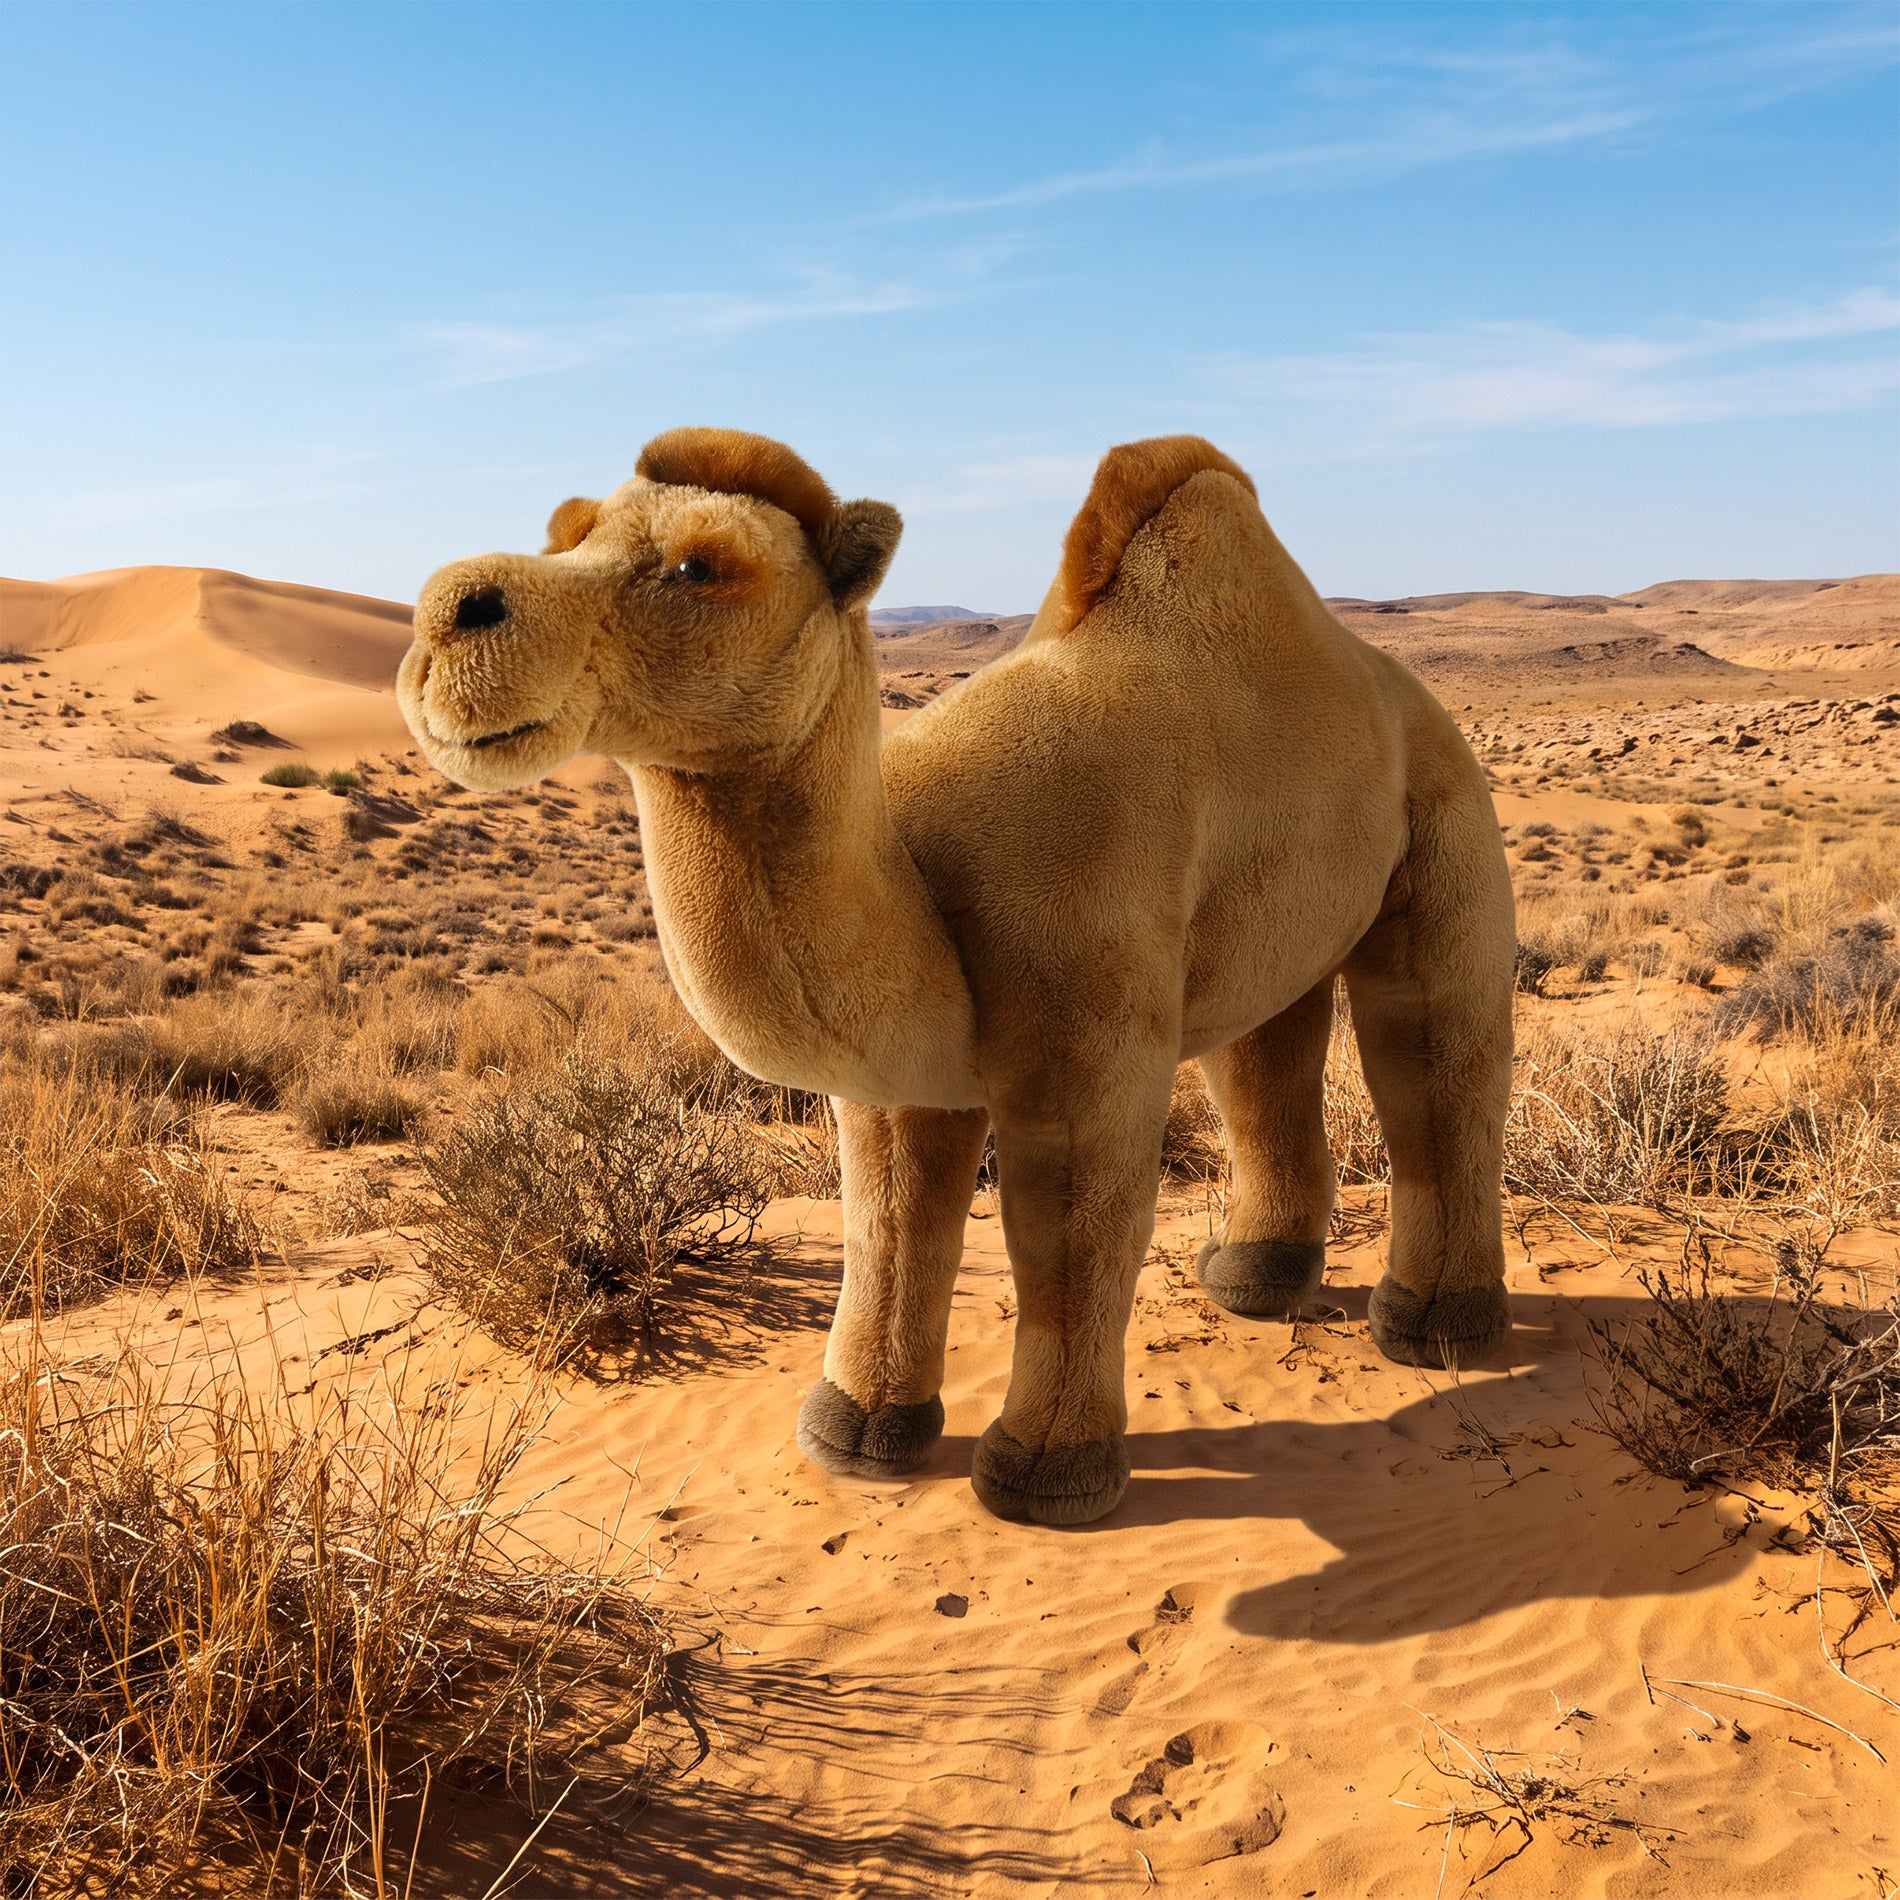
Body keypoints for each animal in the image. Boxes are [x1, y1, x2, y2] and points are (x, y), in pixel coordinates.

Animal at [397, 428, 1516, 1527]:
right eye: (571, 531)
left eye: (699, 566)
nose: (451, 611)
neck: (925, 888)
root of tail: (1397, 686)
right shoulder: (905, 1084)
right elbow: (892, 1228)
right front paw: (857, 1431)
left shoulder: (1084, 1027)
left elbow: (1069, 1237)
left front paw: (1046, 1473)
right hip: (1270, 922)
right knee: (1263, 1057)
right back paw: (1254, 1280)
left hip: (1447, 818)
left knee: (1436, 1060)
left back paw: (1438, 1327)